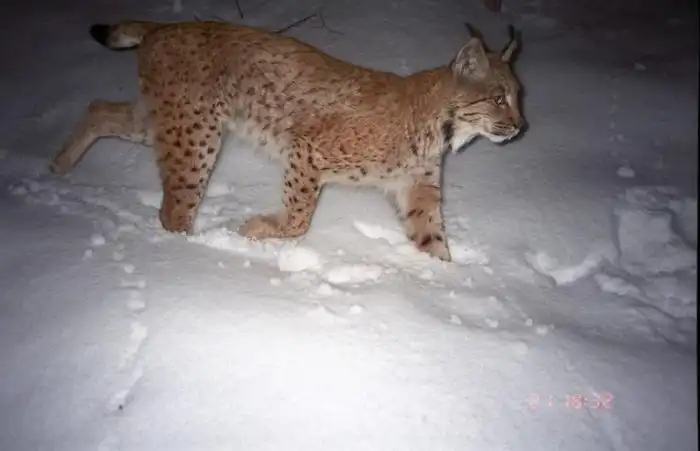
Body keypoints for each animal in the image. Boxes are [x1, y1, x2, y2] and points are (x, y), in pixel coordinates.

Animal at [50, 20, 524, 261]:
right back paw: (187, 253)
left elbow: (434, 242)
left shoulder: (417, 189)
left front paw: (444, 286)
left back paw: (58, 166)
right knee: (172, 210)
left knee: (99, 107)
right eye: (499, 98)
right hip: (196, 133)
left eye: (518, 95)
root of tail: (167, 23)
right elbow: (299, 218)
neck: (440, 129)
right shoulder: (308, 149)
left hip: (161, 120)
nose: (521, 127)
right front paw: (256, 230)